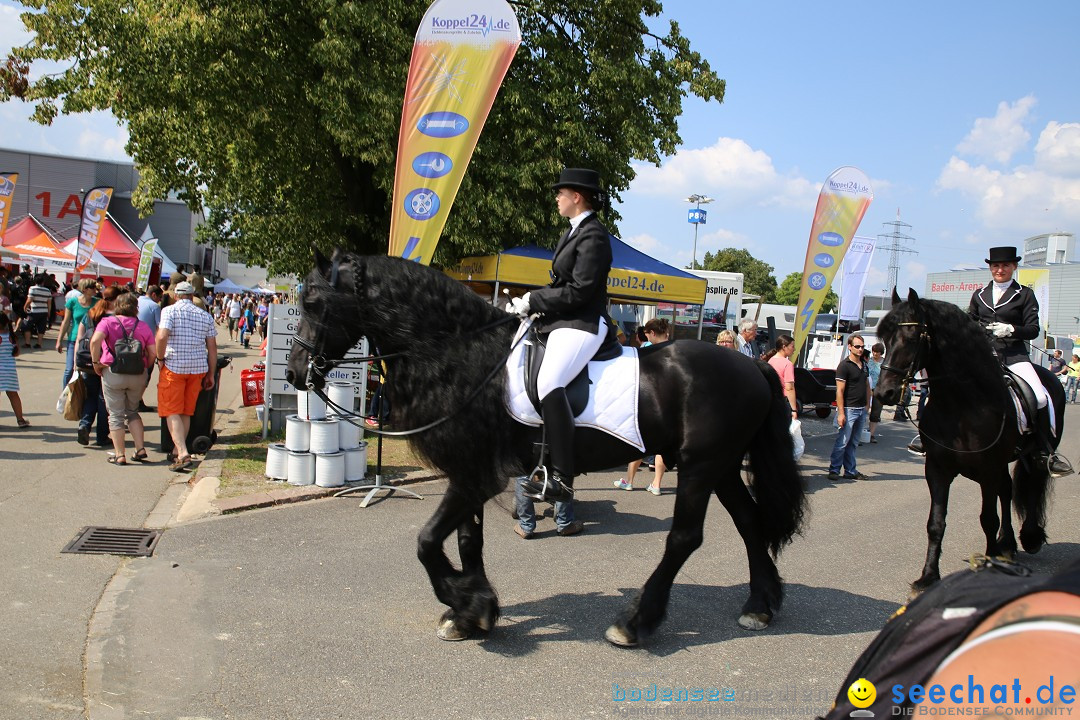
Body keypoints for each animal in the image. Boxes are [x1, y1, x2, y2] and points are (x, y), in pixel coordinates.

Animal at [287, 253, 812, 647]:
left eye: (312, 302)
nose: (294, 373)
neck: (462, 354)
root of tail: (752, 365)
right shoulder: (470, 469)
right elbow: (466, 540)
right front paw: (473, 610)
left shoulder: (477, 474)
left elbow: (427, 541)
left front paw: (467, 604)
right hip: (721, 467)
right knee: (749, 524)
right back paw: (759, 607)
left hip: (702, 467)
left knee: (685, 538)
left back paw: (635, 623)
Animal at [872, 289, 1058, 595]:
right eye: (884, 340)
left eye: (912, 337)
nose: (883, 393)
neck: (961, 405)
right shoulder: (938, 469)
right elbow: (935, 523)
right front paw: (928, 576)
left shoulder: (988, 470)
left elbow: (988, 518)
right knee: (1007, 490)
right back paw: (1007, 545)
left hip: (1032, 457)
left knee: (1032, 487)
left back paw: (1028, 538)